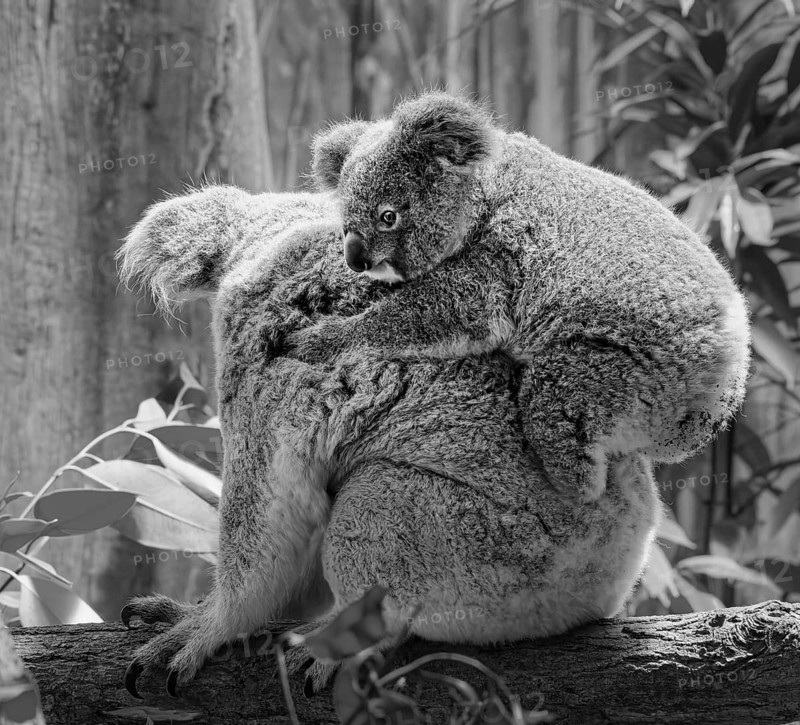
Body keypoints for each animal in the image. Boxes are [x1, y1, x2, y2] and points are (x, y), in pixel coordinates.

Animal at [117, 185, 660, 696]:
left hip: (491, 546)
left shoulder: (256, 360)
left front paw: (201, 628)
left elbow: (268, 527)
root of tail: (626, 560)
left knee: (367, 517)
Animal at [288, 91, 751, 503]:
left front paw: (316, 340)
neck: (485, 192)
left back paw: (573, 486)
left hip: (627, 368)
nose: (356, 260)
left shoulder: (494, 263)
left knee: (555, 405)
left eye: (388, 216)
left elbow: (438, 315)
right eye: (346, 223)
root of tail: (730, 364)